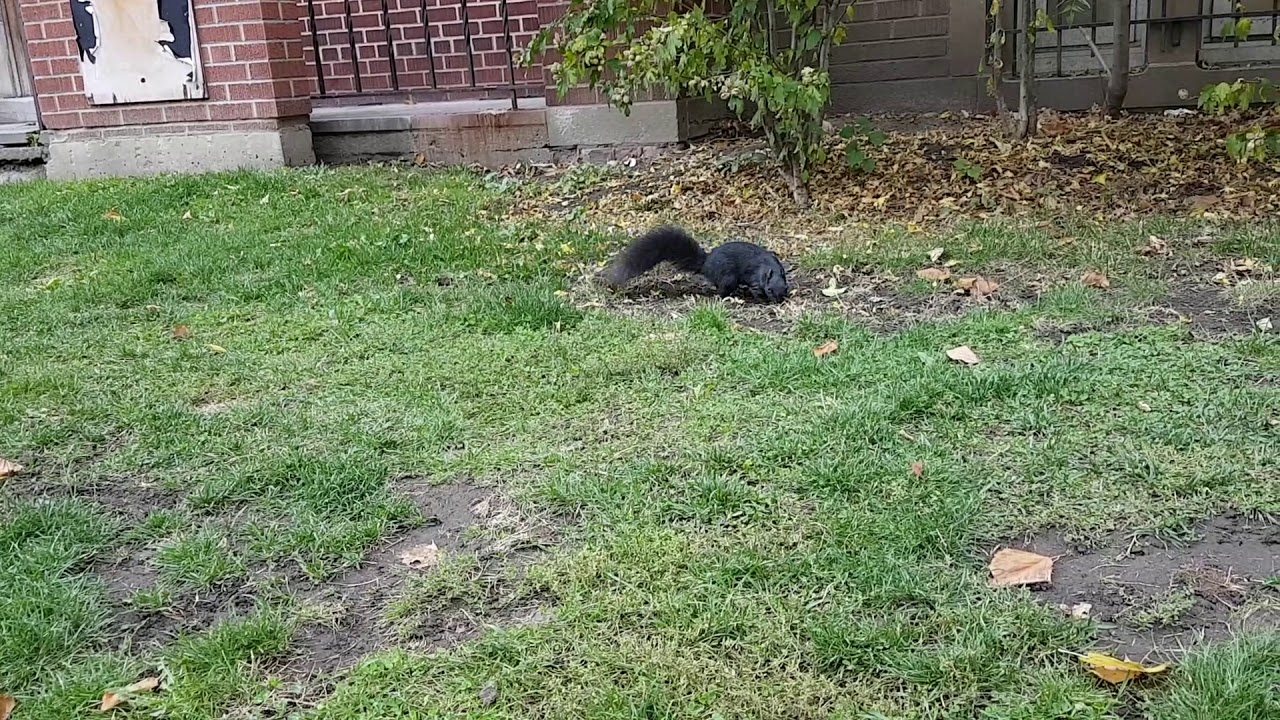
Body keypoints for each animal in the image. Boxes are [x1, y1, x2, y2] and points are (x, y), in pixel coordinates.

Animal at [602, 226, 790, 303]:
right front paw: (762, 299)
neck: (768, 269)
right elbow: (756, 290)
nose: (778, 300)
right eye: (770, 289)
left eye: (785, 288)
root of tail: (706, 263)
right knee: (721, 289)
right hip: (728, 277)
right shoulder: (755, 280)